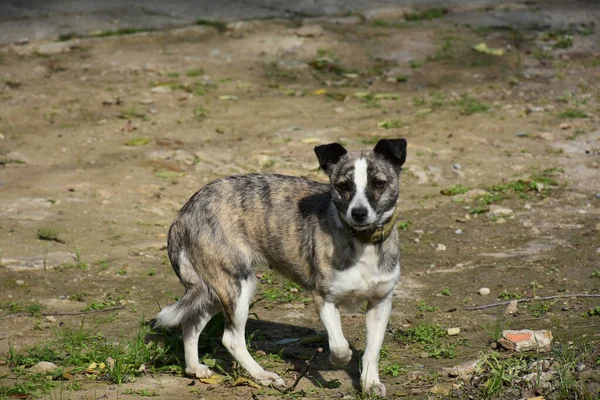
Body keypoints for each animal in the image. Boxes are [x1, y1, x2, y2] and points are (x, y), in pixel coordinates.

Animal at [155, 139, 408, 396]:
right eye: (343, 186)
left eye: (379, 184)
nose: (358, 213)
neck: (363, 241)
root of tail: (184, 213)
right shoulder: (323, 298)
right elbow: (340, 345)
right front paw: (337, 361)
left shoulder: (380, 302)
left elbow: (372, 351)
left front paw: (370, 382)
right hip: (237, 286)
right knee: (231, 339)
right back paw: (263, 376)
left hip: (213, 290)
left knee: (191, 323)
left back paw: (194, 367)